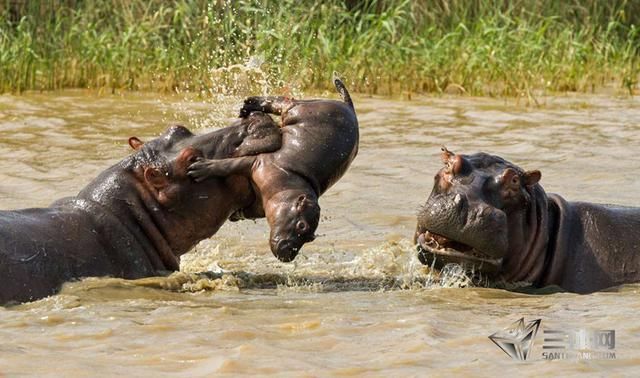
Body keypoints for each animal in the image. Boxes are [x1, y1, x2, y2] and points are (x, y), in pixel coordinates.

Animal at [190, 75, 360, 262]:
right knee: (284, 102)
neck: (293, 184)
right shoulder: (258, 163)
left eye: (310, 238)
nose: (290, 255)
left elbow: (248, 211)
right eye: (301, 225)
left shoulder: (260, 203)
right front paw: (199, 168)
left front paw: (236, 215)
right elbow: (228, 165)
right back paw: (248, 105)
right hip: (298, 110)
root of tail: (349, 107)